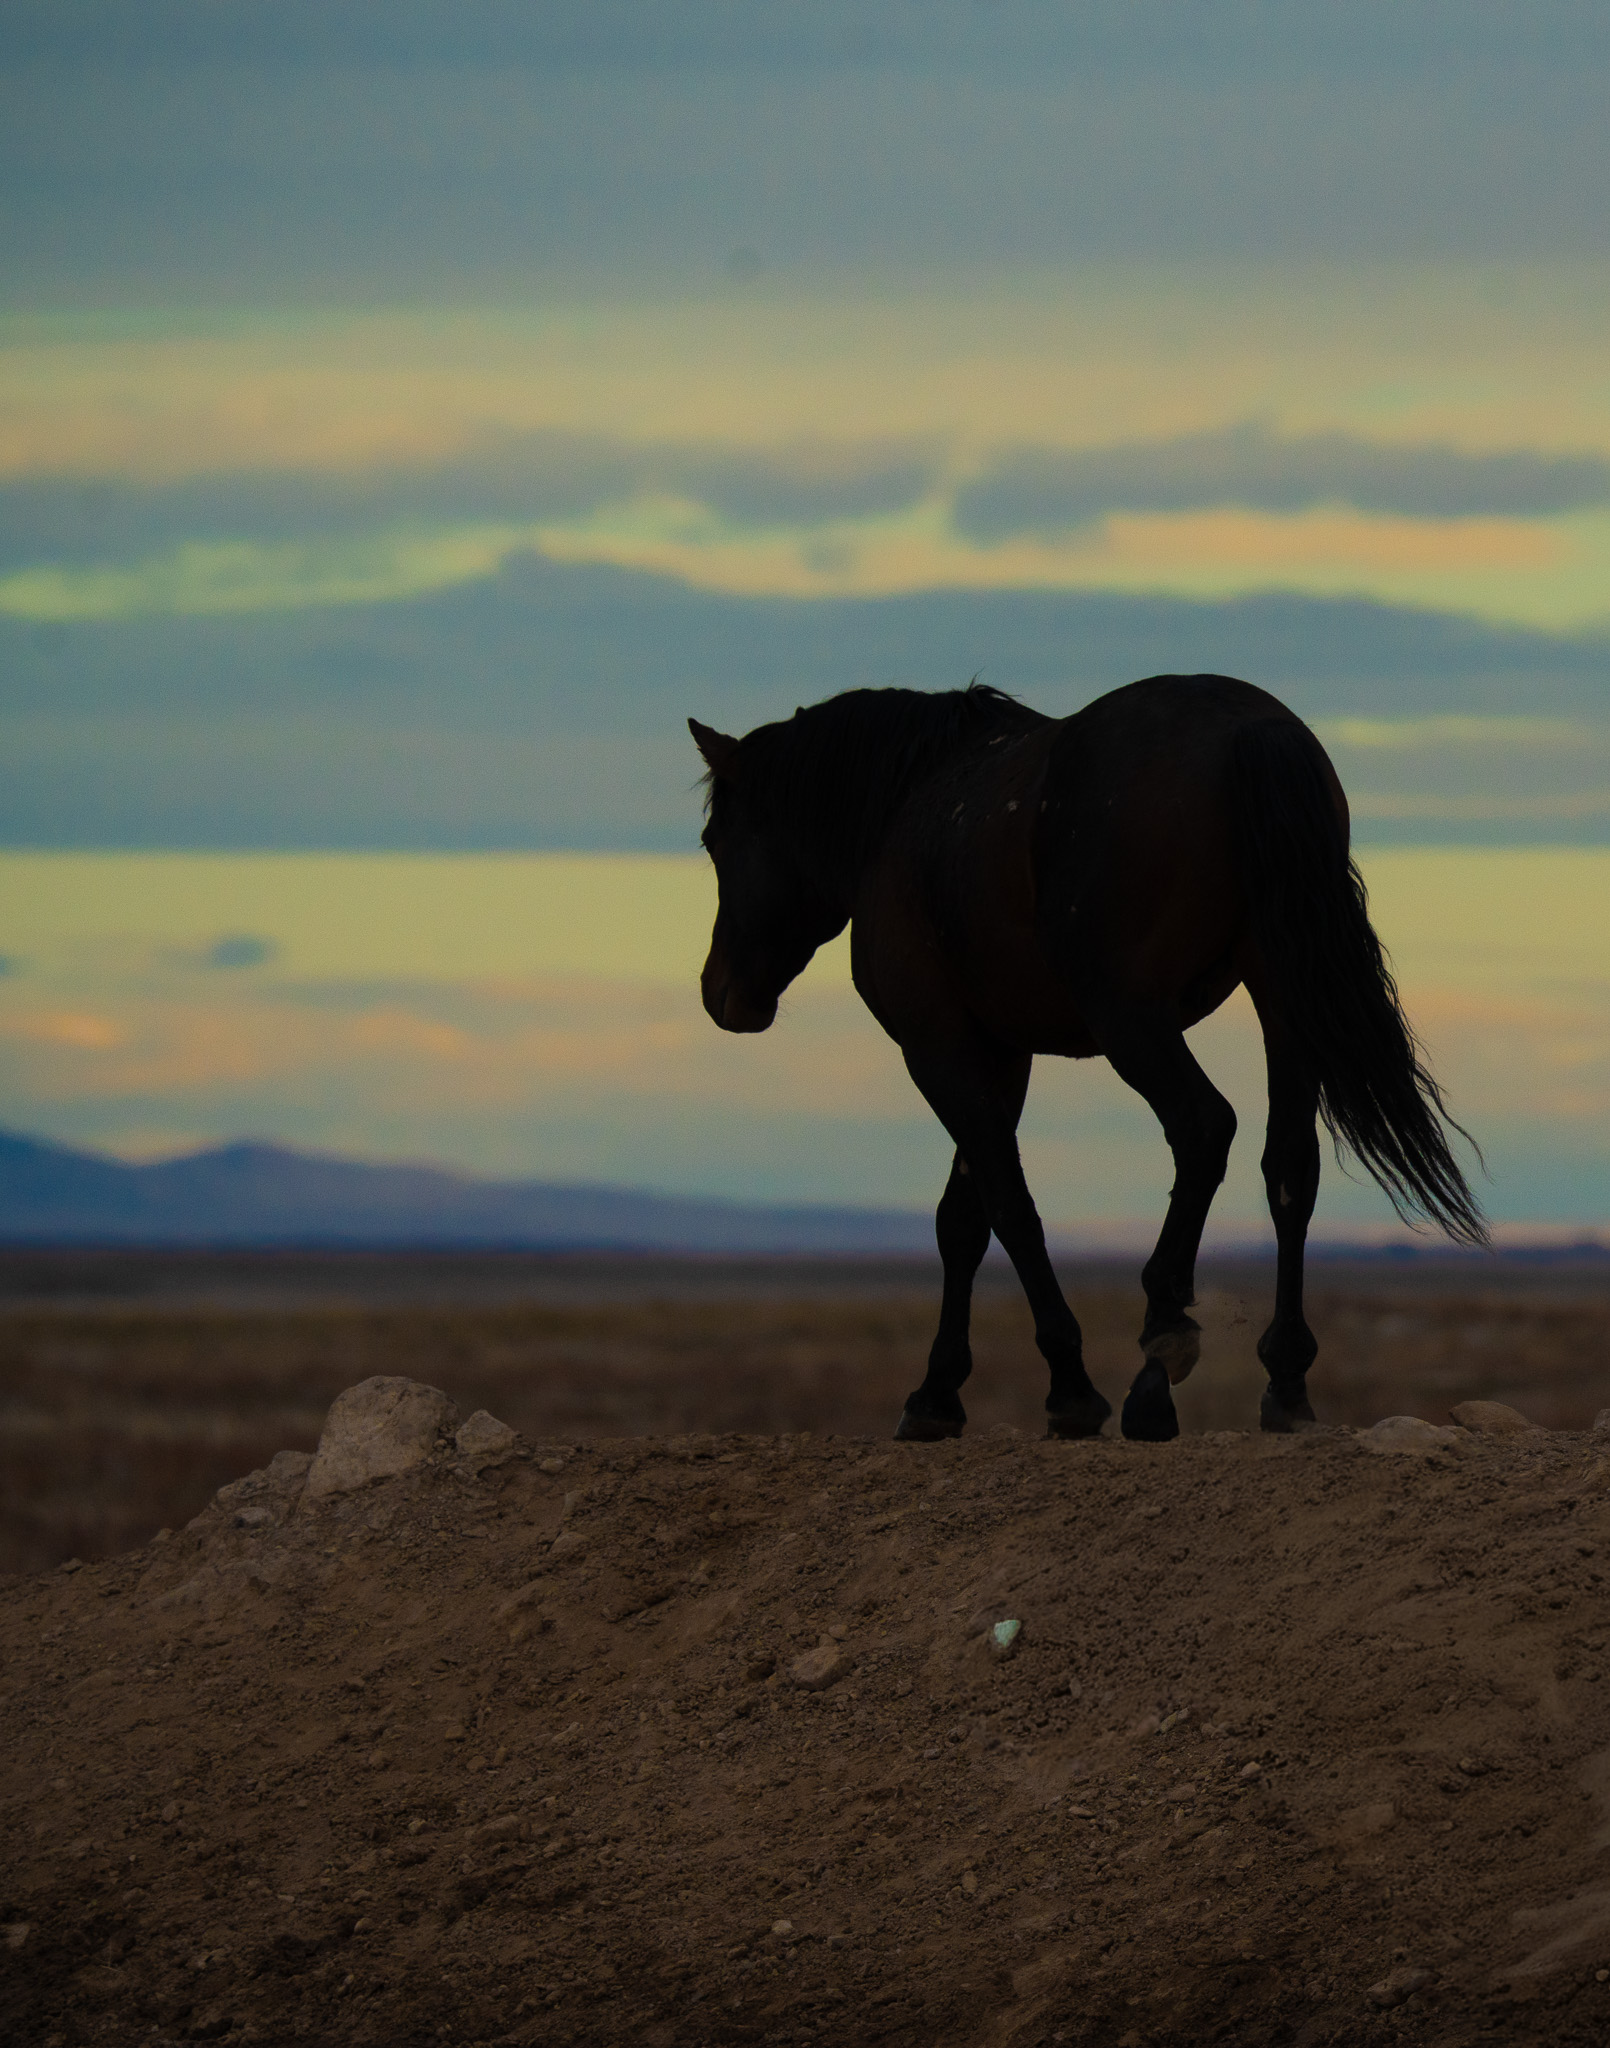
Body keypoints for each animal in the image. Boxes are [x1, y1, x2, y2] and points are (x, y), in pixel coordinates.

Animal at [689, 675, 1485, 1443]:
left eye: (714, 842)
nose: (718, 993)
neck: (903, 812)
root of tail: (1248, 727)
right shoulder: (1001, 1053)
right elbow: (962, 1221)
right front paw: (938, 1395)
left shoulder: (937, 1044)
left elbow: (1009, 1208)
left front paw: (1067, 1389)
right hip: (1282, 995)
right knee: (1289, 1163)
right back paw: (1285, 1381)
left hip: (1130, 1016)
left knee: (1203, 1127)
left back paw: (1159, 1358)